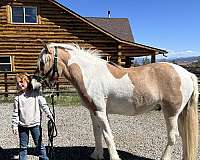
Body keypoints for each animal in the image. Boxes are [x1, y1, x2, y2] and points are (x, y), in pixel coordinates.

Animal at [32, 42, 198, 160]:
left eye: (42, 62)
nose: (33, 84)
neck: (90, 75)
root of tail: (187, 74)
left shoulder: (100, 112)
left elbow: (107, 135)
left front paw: (114, 157)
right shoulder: (94, 112)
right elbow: (97, 133)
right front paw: (97, 155)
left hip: (171, 113)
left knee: (173, 137)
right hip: (181, 114)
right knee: (184, 136)